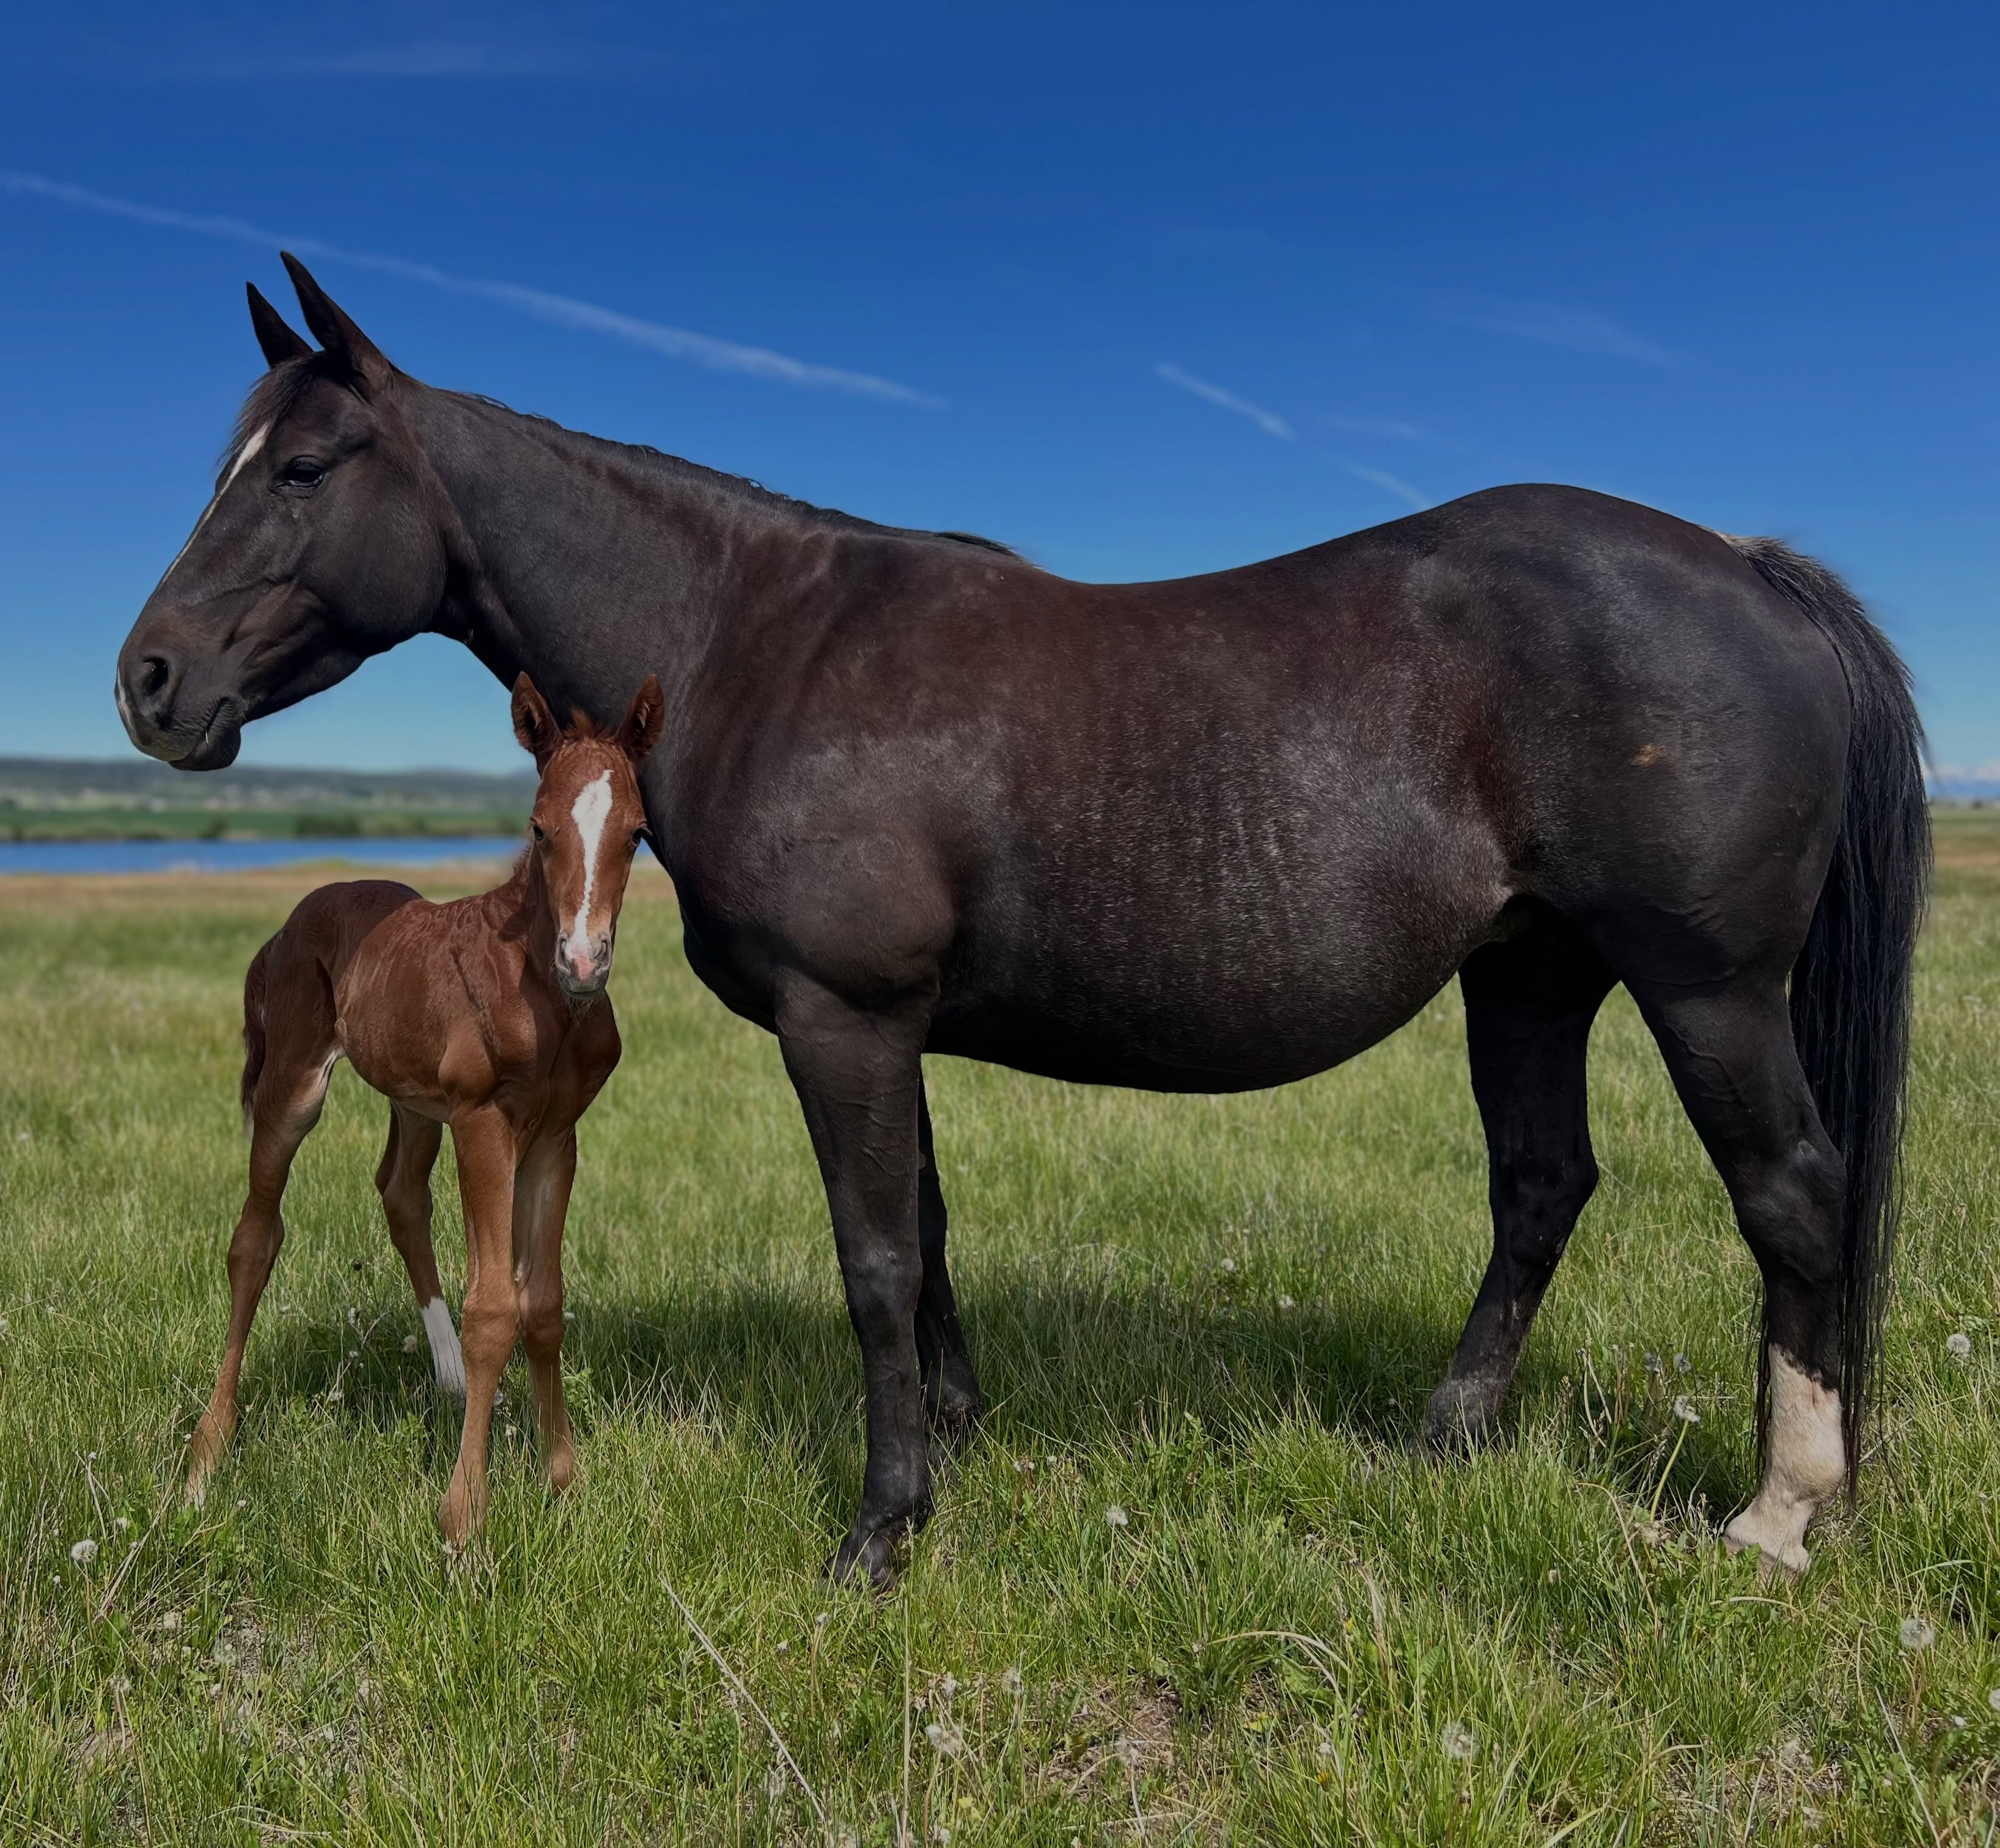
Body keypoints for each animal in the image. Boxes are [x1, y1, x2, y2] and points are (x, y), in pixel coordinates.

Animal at [184, 670, 664, 1545]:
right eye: (539, 828)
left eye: (637, 834)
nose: (583, 961)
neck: (541, 991)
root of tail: (288, 923)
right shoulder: (483, 1121)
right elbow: (494, 1309)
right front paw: (464, 1517)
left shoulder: (556, 1135)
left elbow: (544, 1302)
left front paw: (563, 1481)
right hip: (296, 1087)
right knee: (254, 1238)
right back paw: (206, 1457)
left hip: (413, 1101)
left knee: (401, 1193)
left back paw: (442, 1373)